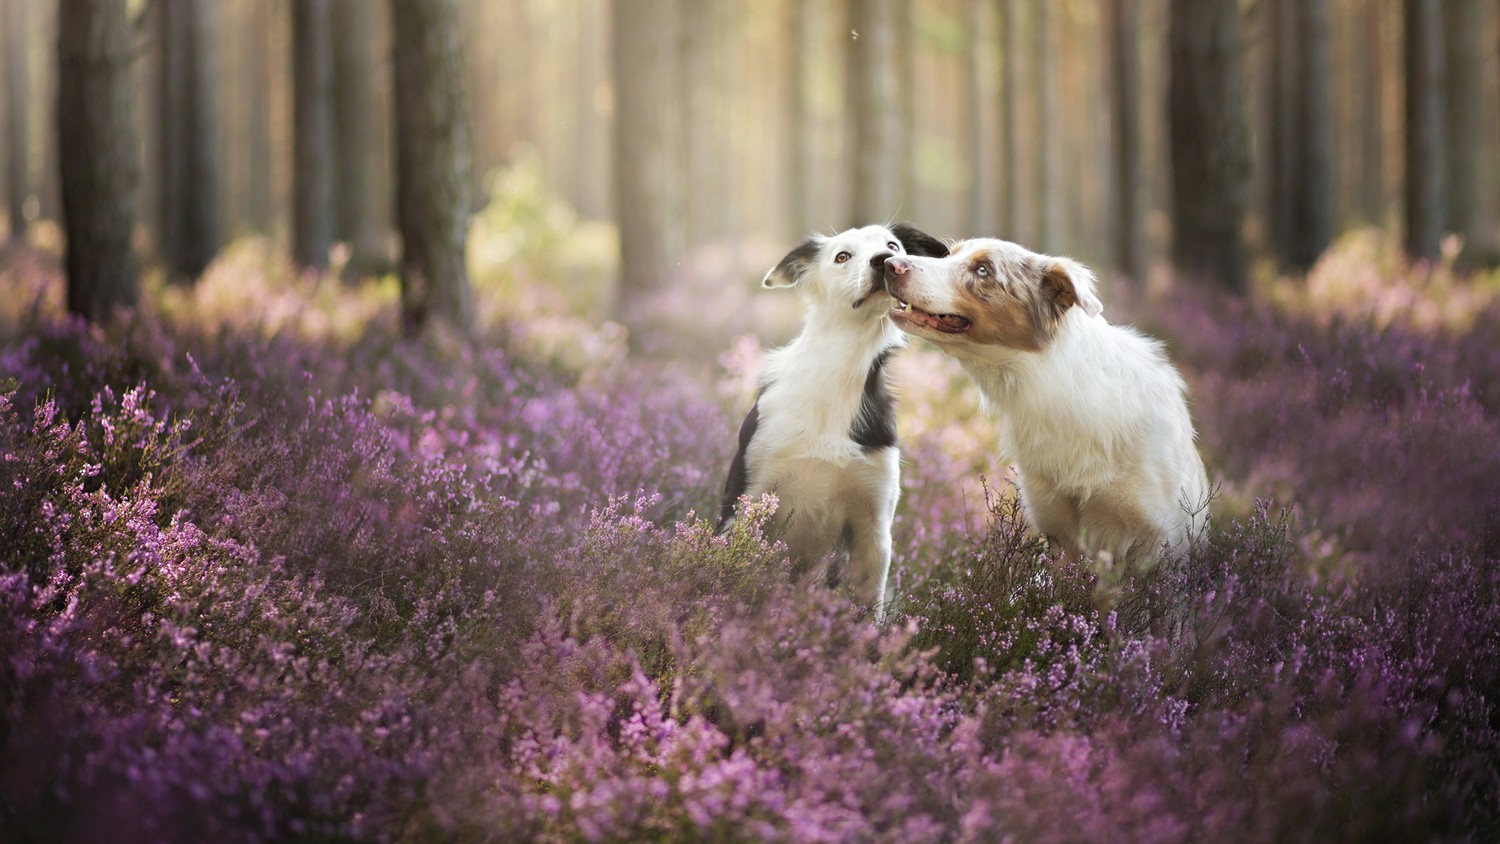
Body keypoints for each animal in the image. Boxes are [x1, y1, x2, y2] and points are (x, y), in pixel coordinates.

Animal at [717, 226, 948, 614]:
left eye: (893, 245)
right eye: (842, 256)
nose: (886, 261)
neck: (840, 373)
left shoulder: (873, 524)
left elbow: (866, 606)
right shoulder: (748, 497)